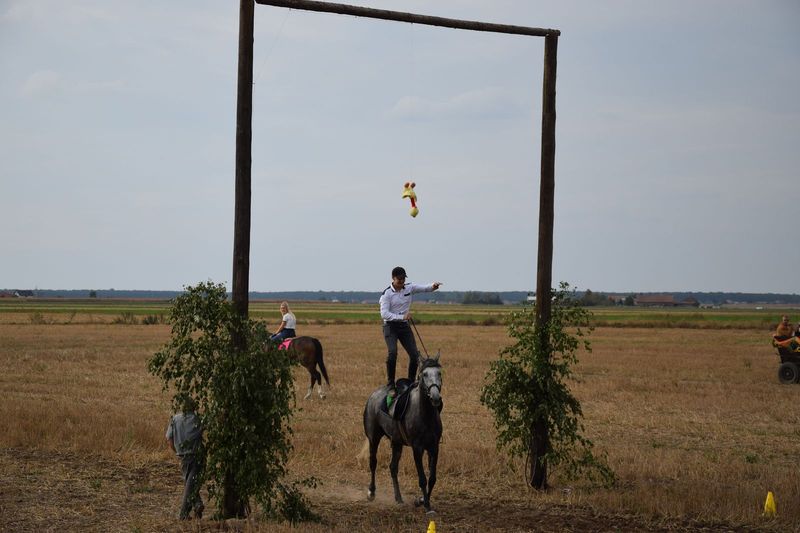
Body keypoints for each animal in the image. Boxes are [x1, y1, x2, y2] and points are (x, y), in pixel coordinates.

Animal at [364, 354, 444, 512]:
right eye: (424, 374)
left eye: (439, 373)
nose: (435, 397)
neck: (425, 415)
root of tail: (373, 395)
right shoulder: (417, 448)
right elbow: (422, 479)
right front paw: (426, 505)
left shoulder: (434, 447)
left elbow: (432, 478)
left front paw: (421, 500)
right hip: (373, 438)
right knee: (373, 462)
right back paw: (371, 492)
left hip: (396, 442)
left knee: (393, 468)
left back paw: (398, 498)